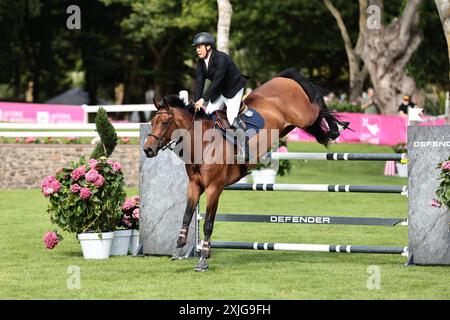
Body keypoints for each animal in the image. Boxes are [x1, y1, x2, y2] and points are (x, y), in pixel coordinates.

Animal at [144, 68, 348, 272]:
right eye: (152, 122)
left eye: (164, 122)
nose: (148, 149)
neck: (202, 143)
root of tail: (282, 78)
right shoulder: (194, 186)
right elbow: (187, 216)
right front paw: (179, 249)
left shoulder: (214, 189)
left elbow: (208, 224)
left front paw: (203, 259)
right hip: (291, 126)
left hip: (305, 115)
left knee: (319, 107)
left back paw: (336, 128)